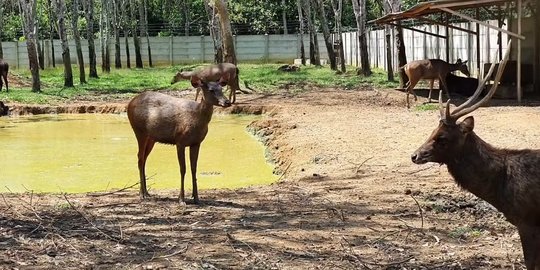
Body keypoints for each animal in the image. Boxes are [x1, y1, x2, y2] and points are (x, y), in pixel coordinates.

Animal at [127, 73, 231, 204]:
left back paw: (147, 192)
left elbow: (194, 168)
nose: (227, 102)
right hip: (139, 131)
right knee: (140, 158)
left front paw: (196, 198)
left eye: (221, 88)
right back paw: (142, 194)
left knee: (144, 159)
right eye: (211, 90)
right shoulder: (180, 141)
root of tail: (130, 103)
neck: (197, 120)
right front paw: (181, 199)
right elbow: (183, 169)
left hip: (151, 138)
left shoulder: (196, 143)